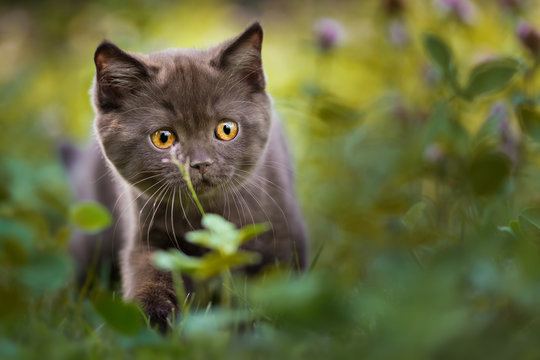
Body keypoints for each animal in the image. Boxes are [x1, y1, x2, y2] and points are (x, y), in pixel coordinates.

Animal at [70, 21, 308, 332]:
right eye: (163, 137)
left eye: (227, 129)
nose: (201, 163)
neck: (205, 212)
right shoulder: (148, 235)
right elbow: (148, 275)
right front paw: (149, 322)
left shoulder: (282, 232)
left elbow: (282, 285)